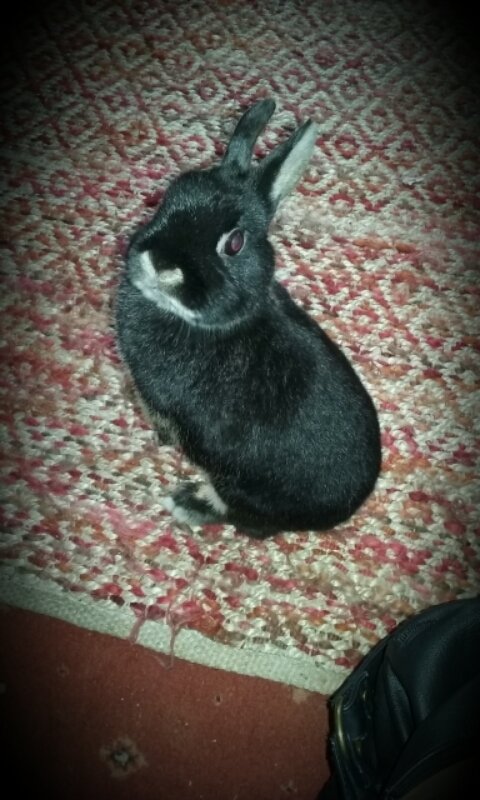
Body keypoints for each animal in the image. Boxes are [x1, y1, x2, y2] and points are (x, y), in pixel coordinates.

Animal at [115, 98, 381, 537]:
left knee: (242, 518)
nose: (160, 262)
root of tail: (341, 512)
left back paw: (188, 503)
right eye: (170, 195)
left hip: (242, 488)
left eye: (235, 243)